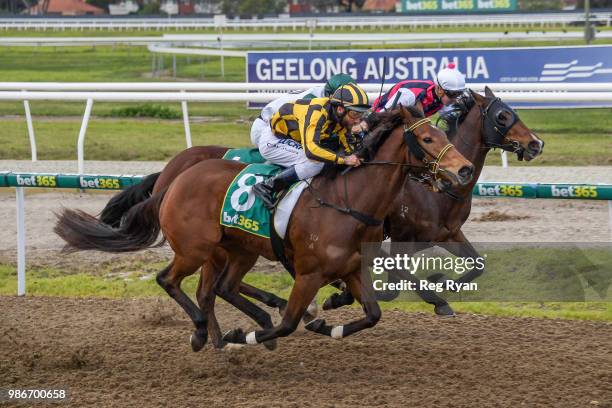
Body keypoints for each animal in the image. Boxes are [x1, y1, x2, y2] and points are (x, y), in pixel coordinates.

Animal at [56, 107, 474, 350]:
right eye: (427, 138)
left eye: (445, 134)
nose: (465, 169)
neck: (349, 201)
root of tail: (172, 181)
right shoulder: (308, 273)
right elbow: (288, 324)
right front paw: (248, 335)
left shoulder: (355, 268)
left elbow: (372, 314)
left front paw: (328, 326)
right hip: (196, 249)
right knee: (172, 281)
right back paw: (206, 333)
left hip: (237, 249)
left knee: (218, 288)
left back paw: (224, 333)